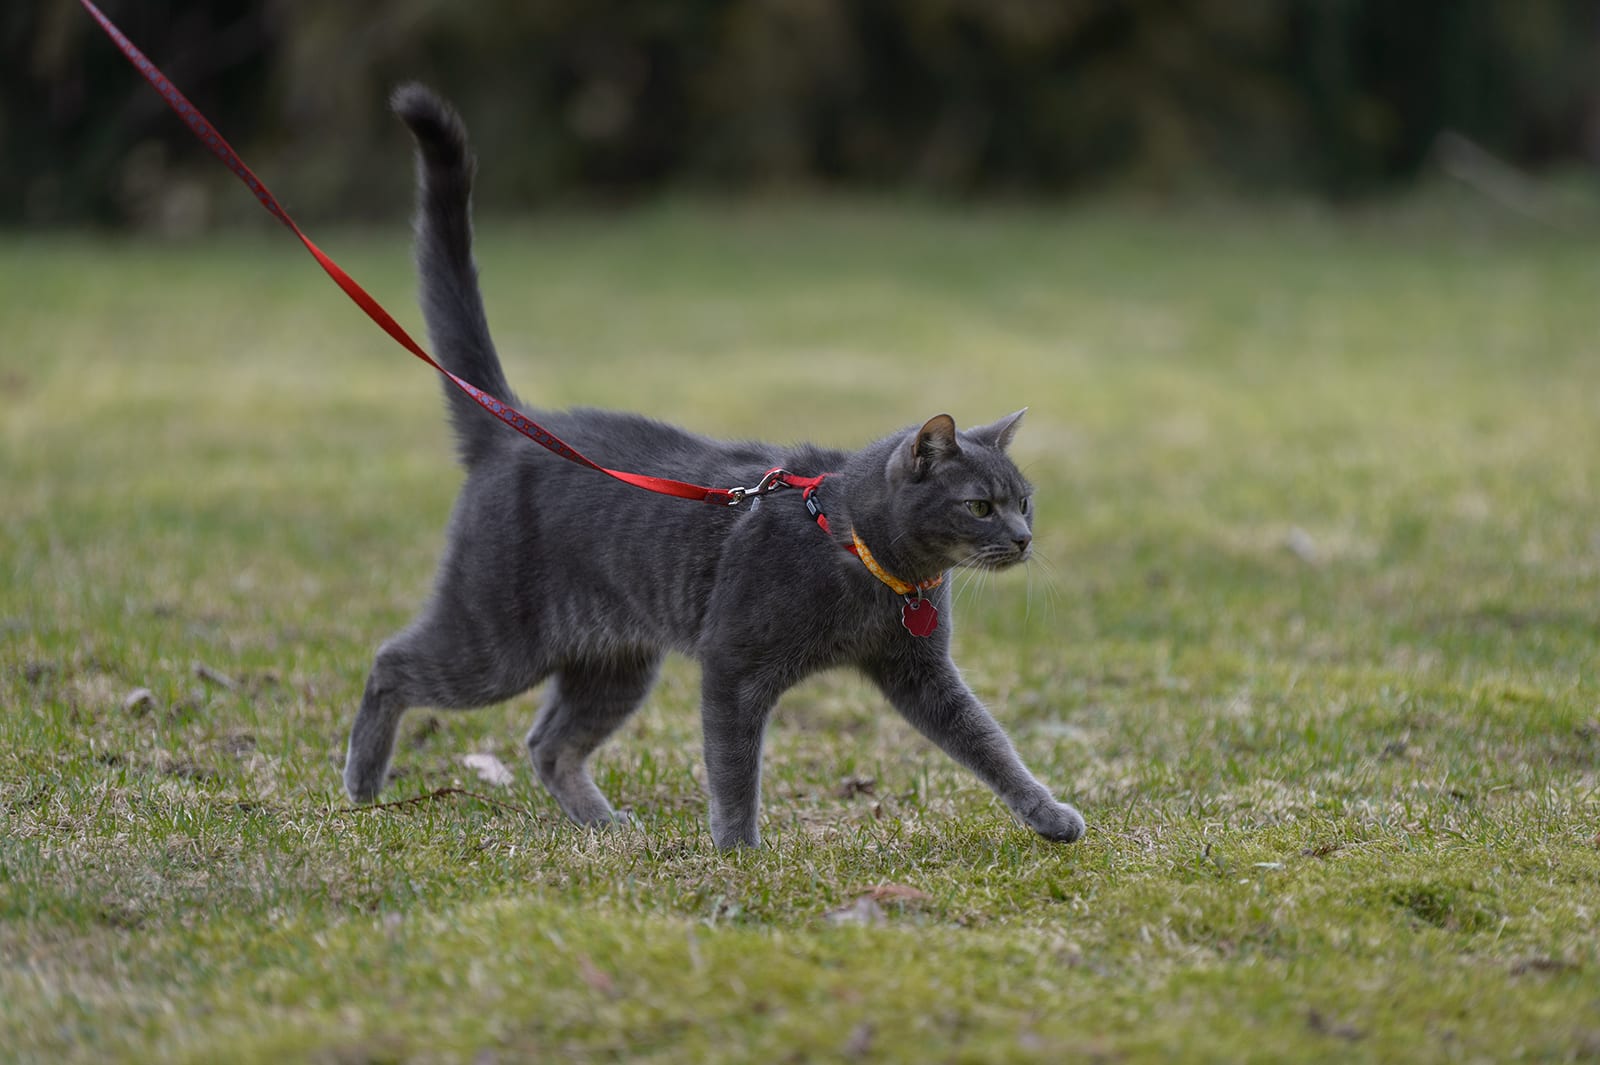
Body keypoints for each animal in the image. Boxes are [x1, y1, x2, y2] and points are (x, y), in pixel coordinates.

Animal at [340, 83, 1088, 844]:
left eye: (1025, 501)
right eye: (980, 505)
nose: (1023, 538)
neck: (867, 557)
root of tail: (516, 428)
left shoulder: (920, 672)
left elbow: (989, 742)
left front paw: (1049, 813)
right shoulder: (733, 664)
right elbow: (733, 766)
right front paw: (737, 847)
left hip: (615, 661)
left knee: (548, 742)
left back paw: (603, 823)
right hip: (497, 638)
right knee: (392, 663)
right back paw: (362, 786)